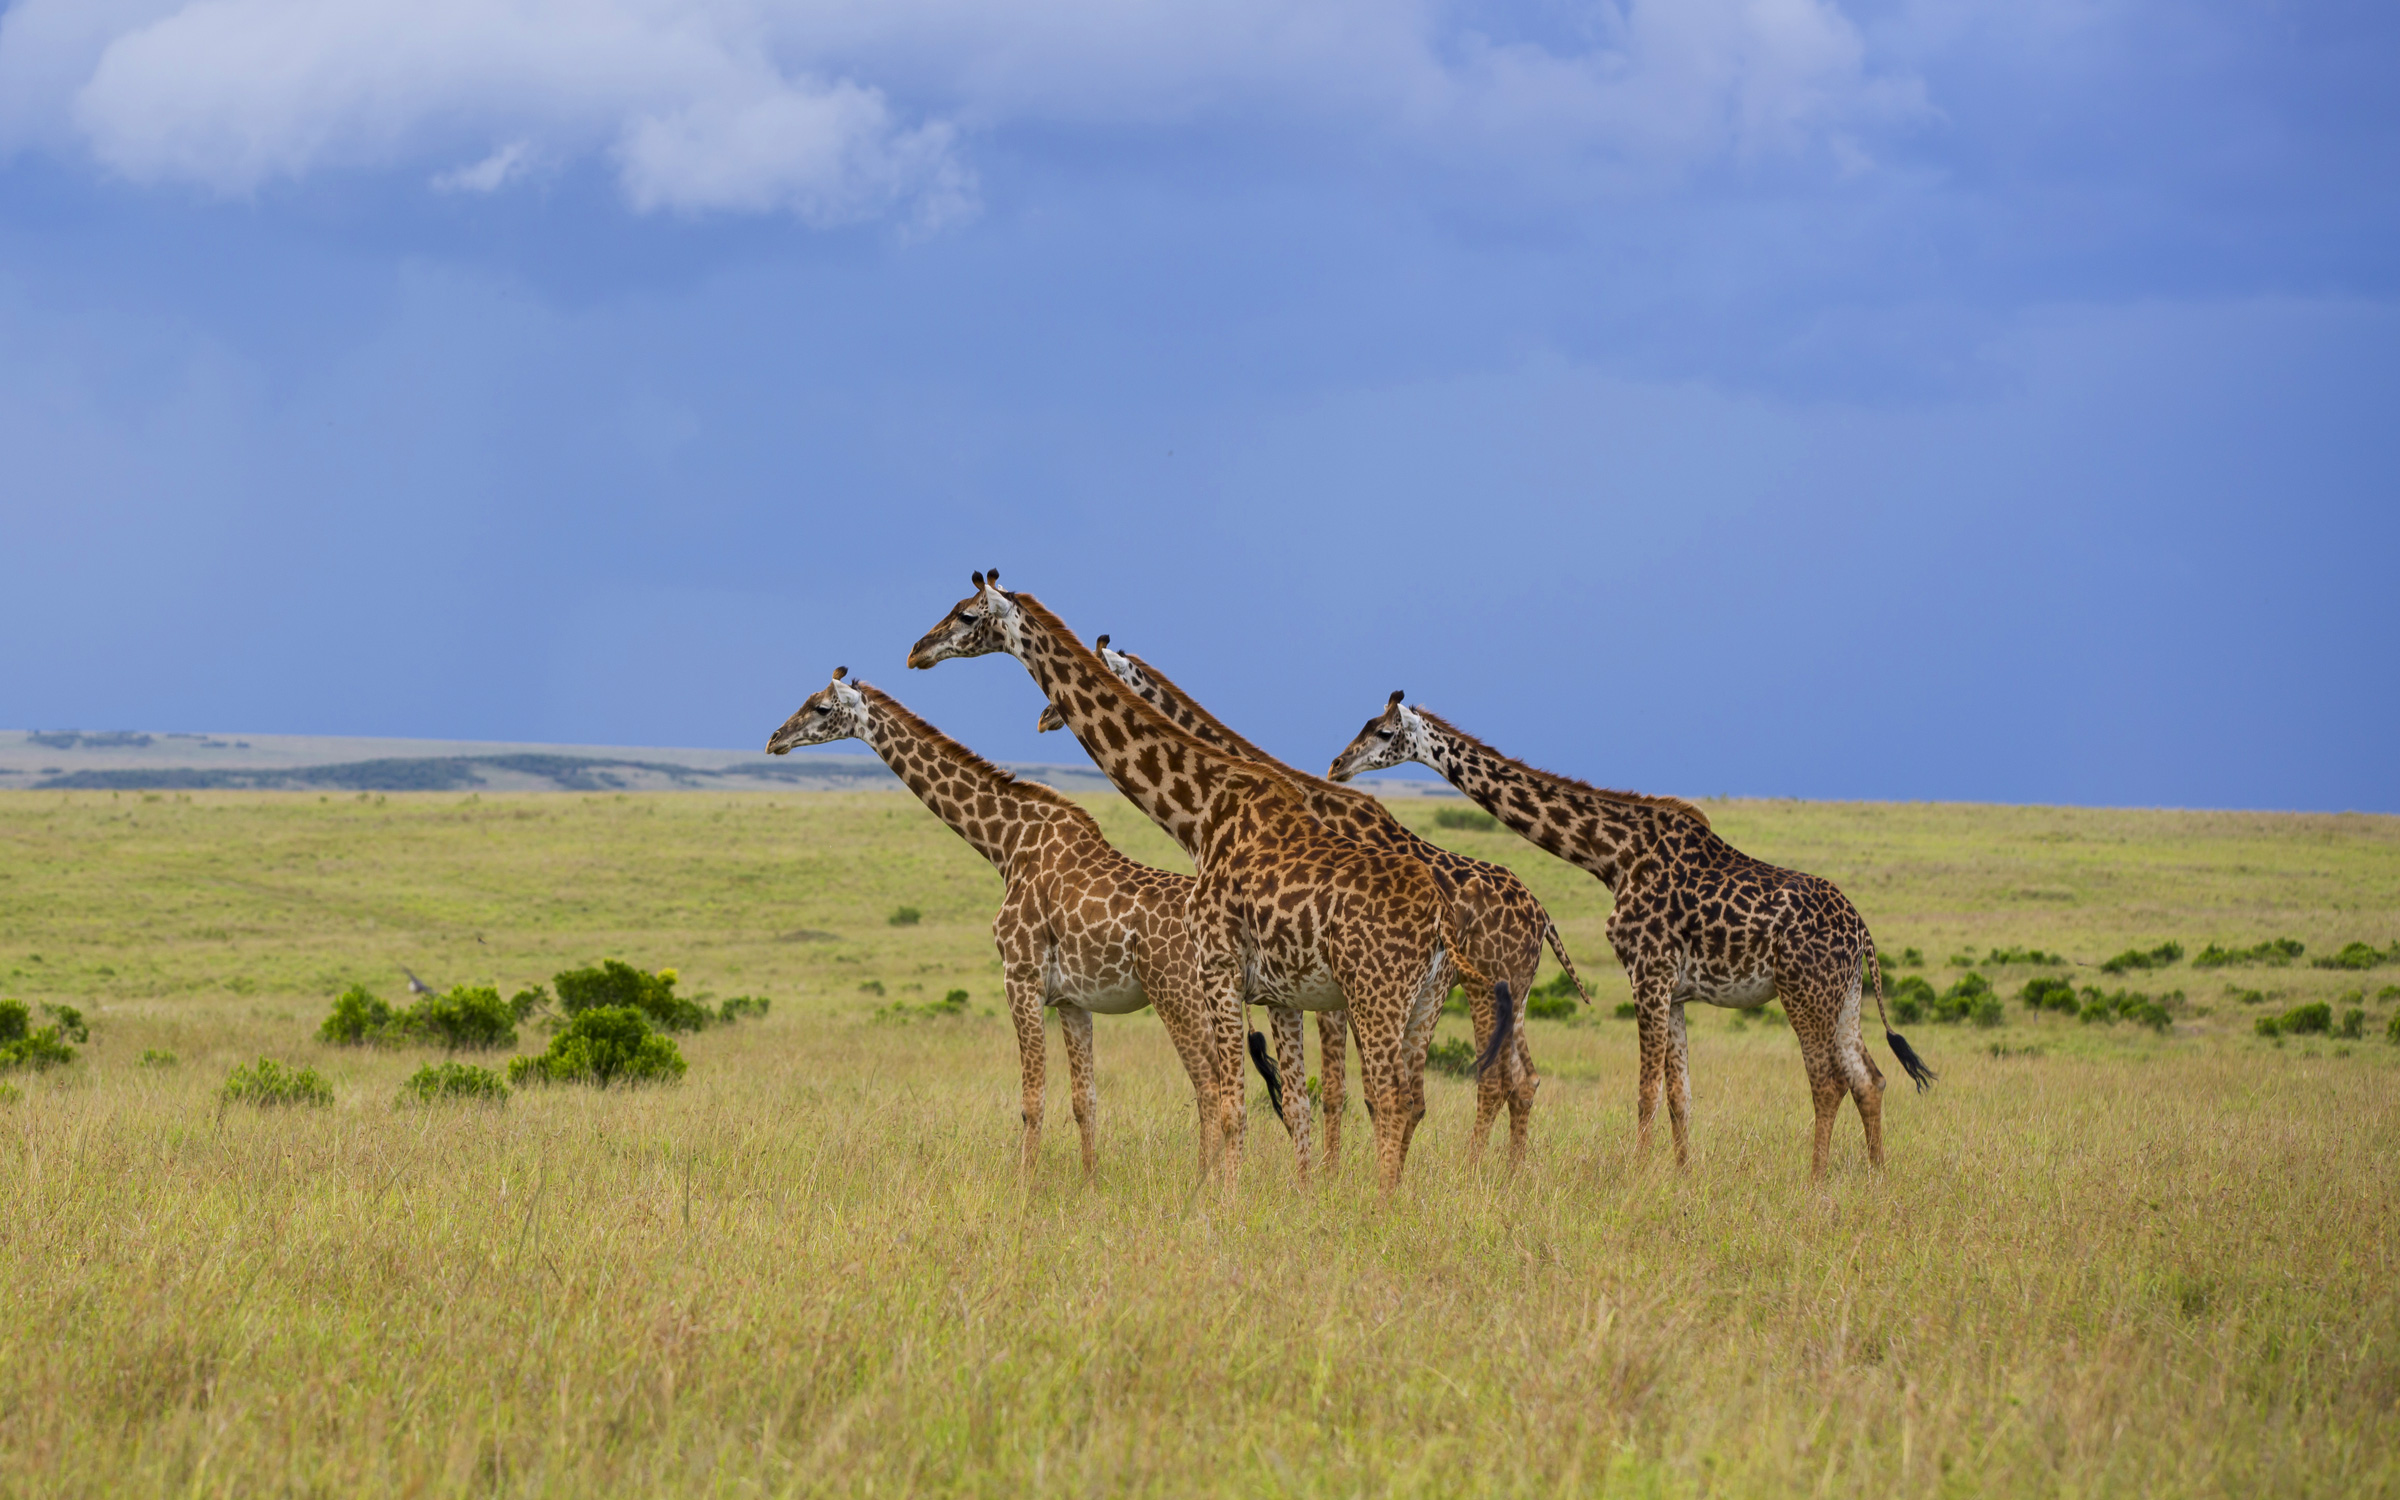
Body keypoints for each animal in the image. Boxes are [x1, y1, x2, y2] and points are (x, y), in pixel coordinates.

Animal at [763, 672, 1228, 1180]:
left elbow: (1032, 1100)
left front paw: (1025, 1184)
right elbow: (1085, 1099)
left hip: (1176, 994)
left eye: (822, 708)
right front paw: (1089, 1181)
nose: (774, 739)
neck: (1007, 844)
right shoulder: (1072, 999)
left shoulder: (1020, 978)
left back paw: (1204, 1183)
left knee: (1211, 1087)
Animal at [907, 573, 1488, 1195]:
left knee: (1390, 1098)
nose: (917, 651)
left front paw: (1223, 1202)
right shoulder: (1274, 990)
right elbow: (1291, 1103)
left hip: (1375, 994)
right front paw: (1300, 1195)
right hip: (1423, 1000)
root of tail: (1440, 921)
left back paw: (1379, 1206)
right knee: (1412, 1098)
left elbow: (1234, 1103)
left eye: (967, 615)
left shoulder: (1221, 967)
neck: (1202, 815)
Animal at [1036, 633, 1593, 1171]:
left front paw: (1329, 1175)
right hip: (1505, 991)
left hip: (1484, 986)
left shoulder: (1324, 987)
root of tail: (1542, 914)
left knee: (1490, 1081)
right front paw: (1328, 1173)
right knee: (1521, 1081)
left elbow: (1338, 1092)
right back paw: (1508, 1175)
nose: (1043, 717)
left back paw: (1476, 1171)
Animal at [1324, 691, 1939, 1171]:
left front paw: (1637, 1176)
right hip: (1845, 996)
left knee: (1829, 1081)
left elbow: (1646, 1092)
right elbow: (1680, 1095)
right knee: (1870, 1078)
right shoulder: (1676, 989)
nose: (1336, 765)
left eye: (1382, 731)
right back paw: (1875, 1176)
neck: (1613, 855)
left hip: (1804, 992)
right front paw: (1683, 1176)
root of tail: (1862, 932)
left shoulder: (1649, 973)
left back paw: (1816, 1178)